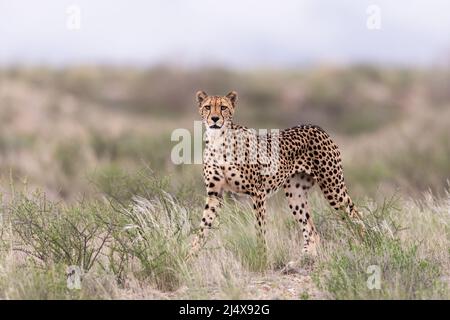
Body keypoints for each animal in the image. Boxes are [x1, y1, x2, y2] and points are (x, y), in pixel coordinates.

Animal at [192, 90, 364, 258]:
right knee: (311, 231)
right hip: (295, 194)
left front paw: (262, 259)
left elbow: (260, 230)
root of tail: (316, 127)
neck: (217, 140)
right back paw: (303, 258)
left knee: (356, 214)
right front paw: (190, 257)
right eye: (207, 107)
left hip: (333, 188)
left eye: (223, 107)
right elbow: (202, 228)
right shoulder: (215, 194)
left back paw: (364, 245)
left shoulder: (258, 192)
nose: (215, 119)